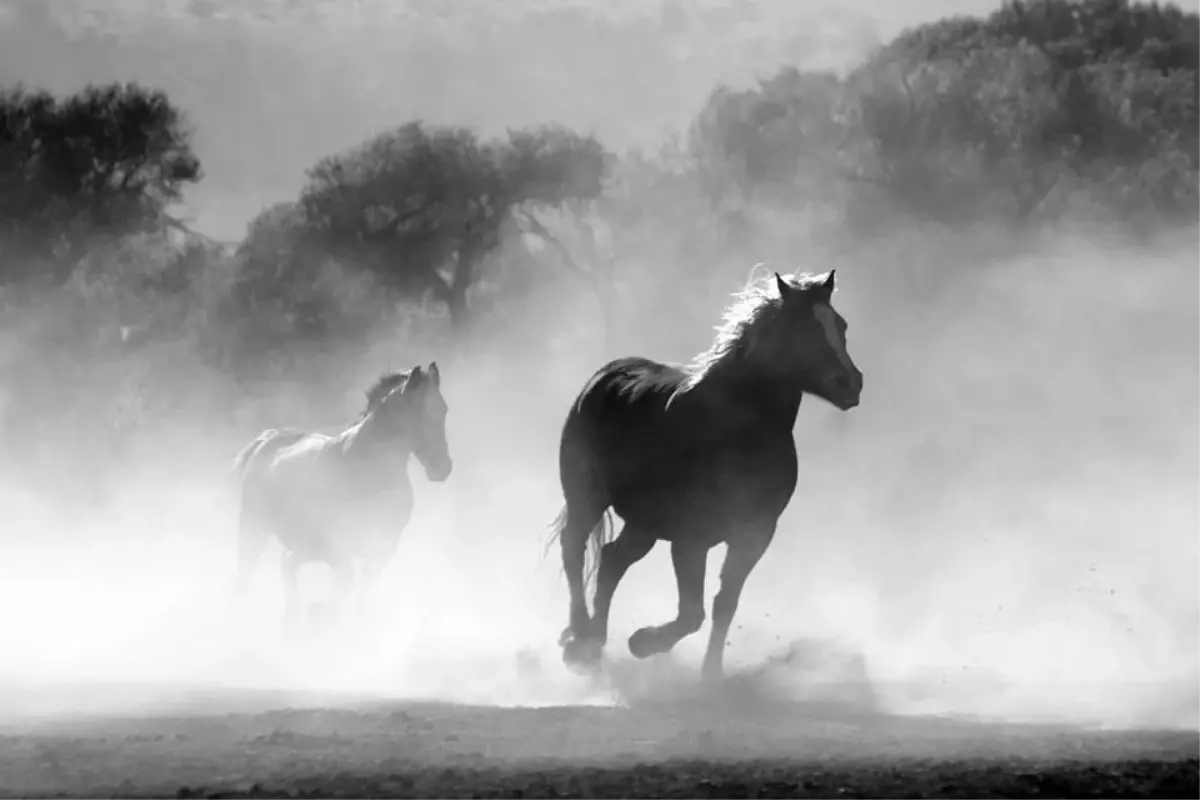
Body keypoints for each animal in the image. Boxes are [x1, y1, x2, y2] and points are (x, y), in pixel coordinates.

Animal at [229, 364, 451, 633]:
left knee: (287, 565)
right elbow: (346, 584)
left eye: (443, 409)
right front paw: (319, 613)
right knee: (245, 575)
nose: (443, 468)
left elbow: (362, 594)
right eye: (416, 412)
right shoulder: (338, 547)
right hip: (254, 528)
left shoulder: (382, 547)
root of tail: (266, 440)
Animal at [552, 268, 864, 681]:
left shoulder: (754, 534)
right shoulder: (691, 538)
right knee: (574, 550)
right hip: (587, 498)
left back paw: (593, 643)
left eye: (840, 325)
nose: (851, 383)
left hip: (644, 523)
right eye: (802, 328)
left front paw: (711, 674)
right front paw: (642, 643)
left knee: (611, 560)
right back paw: (579, 638)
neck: (736, 430)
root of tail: (604, 376)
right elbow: (691, 613)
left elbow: (724, 604)